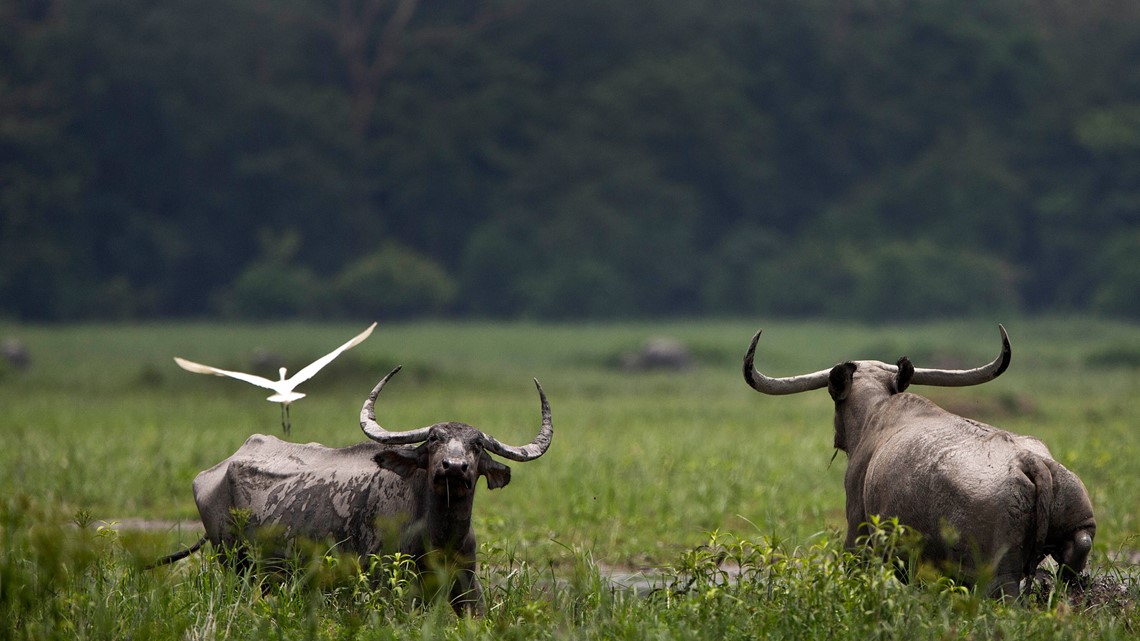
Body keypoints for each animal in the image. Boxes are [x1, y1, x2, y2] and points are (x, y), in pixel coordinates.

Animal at [153, 367, 554, 615]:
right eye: (434, 440)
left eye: (476, 445)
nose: (453, 468)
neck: (438, 534)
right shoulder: (386, 589)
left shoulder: (469, 591)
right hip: (234, 562)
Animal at [738, 326, 1094, 597]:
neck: (875, 412)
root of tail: (1031, 464)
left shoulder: (858, 536)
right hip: (1078, 528)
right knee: (1075, 559)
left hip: (997, 573)